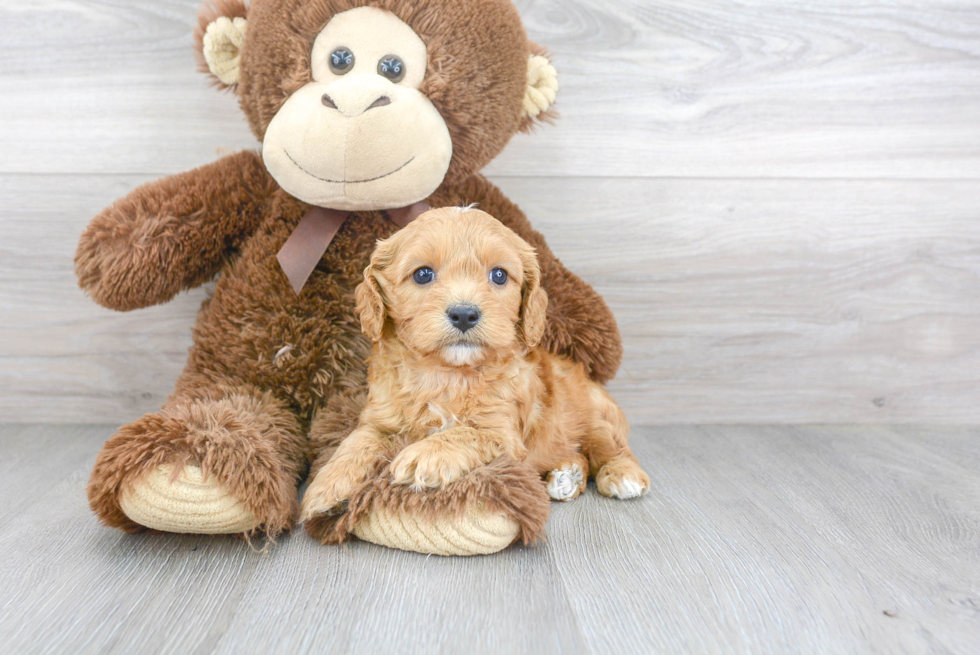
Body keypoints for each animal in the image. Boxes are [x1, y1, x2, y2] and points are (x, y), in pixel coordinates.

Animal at [302, 208, 648, 520]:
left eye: (499, 275)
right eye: (423, 274)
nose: (464, 314)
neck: (446, 373)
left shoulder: (503, 433)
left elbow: (466, 433)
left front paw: (425, 454)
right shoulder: (379, 419)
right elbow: (356, 442)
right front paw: (327, 485)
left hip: (595, 416)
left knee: (610, 447)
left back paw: (622, 475)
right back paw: (567, 476)